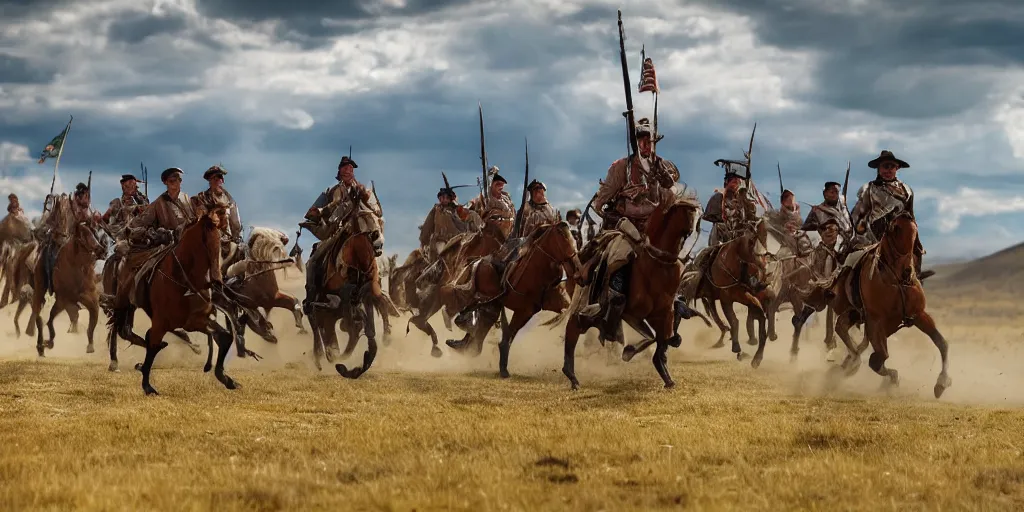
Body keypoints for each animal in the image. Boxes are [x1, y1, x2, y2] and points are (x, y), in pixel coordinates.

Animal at [29, 220, 105, 356]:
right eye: (83, 234)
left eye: (93, 232)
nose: (101, 250)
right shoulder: (63, 300)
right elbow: (50, 320)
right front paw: (49, 342)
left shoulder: (91, 301)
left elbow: (91, 324)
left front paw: (90, 346)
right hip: (40, 290)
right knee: (39, 315)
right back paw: (40, 346)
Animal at [444, 222, 581, 378]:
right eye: (562, 238)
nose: (576, 269)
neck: (537, 270)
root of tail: (479, 261)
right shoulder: (521, 309)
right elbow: (506, 335)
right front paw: (503, 368)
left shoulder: (536, 308)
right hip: (486, 296)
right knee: (477, 314)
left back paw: (467, 346)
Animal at [552, 190, 704, 389]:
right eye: (685, 213)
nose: (691, 232)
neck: (659, 263)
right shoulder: (633, 312)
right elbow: (652, 337)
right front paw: (629, 351)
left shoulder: (663, 313)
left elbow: (662, 338)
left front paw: (665, 375)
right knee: (575, 326)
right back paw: (571, 375)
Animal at [806, 209, 950, 397]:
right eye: (895, 229)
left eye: (915, 231)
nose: (908, 272)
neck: (895, 281)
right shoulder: (875, 322)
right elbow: (878, 360)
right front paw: (892, 379)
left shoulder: (918, 315)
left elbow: (941, 343)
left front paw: (942, 382)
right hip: (851, 312)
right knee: (841, 330)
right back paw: (851, 363)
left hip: (856, 314)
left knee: (843, 328)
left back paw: (849, 362)